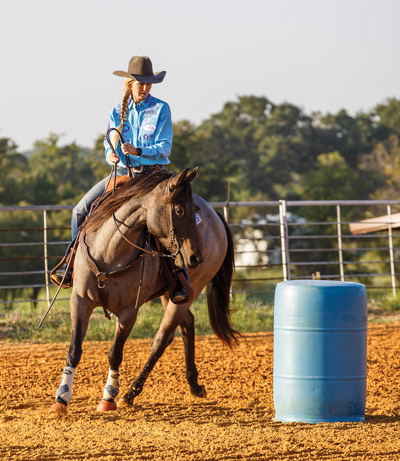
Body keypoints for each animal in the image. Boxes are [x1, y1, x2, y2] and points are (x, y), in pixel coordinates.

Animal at [50, 166, 238, 414]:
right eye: (179, 209)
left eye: (194, 210)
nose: (196, 258)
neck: (108, 252)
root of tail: (217, 217)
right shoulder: (80, 300)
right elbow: (74, 349)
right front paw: (61, 398)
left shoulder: (129, 311)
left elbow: (115, 353)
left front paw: (108, 397)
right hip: (172, 294)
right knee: (186, 325)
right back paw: (194, 384)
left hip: (192, 289)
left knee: (162, 338)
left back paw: (130, 394)